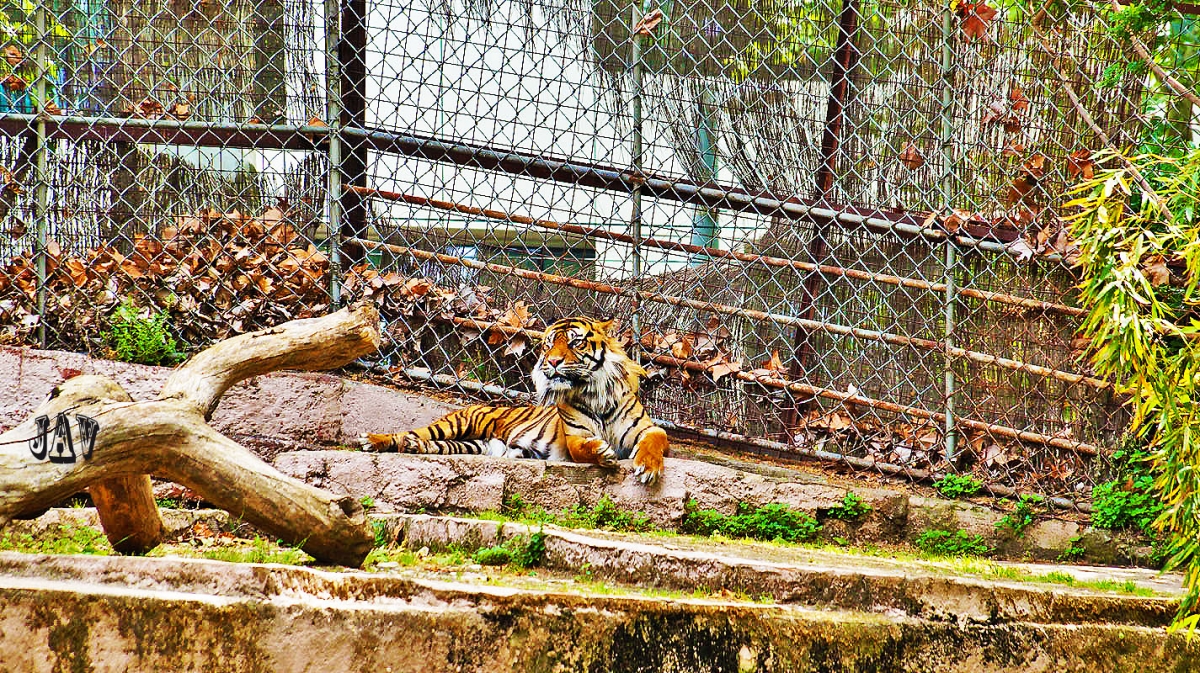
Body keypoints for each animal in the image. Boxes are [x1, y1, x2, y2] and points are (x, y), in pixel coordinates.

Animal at [360, 314, 672, 482]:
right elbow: (584, 446)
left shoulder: (647, 429)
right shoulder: (574, 438)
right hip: (457, 423)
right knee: (411, 432)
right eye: (549, 344)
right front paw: (602, 452)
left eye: (575, 342)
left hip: (475, 445)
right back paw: (373, 440)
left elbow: (656, 440)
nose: (553, 361)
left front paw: (647, 467)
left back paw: (413, 447)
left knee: (431, 444)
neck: (592, 390)